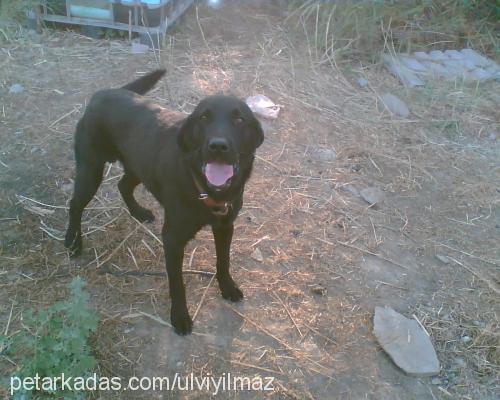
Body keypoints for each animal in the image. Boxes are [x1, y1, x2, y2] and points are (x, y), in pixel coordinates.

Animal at [66, 69, 266, 334]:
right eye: (204, 117)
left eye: (240, 120)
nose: (218, 146)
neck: (202, 187)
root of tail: (102, 94)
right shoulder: (172, 239)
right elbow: (177, 283)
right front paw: (180, 316)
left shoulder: (225, 226)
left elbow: (224, 260)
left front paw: (227, 287)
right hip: (91, 169)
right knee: (75, 204)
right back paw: (72, 241)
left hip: (137, 166)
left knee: (122, 185)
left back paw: (139, 212)